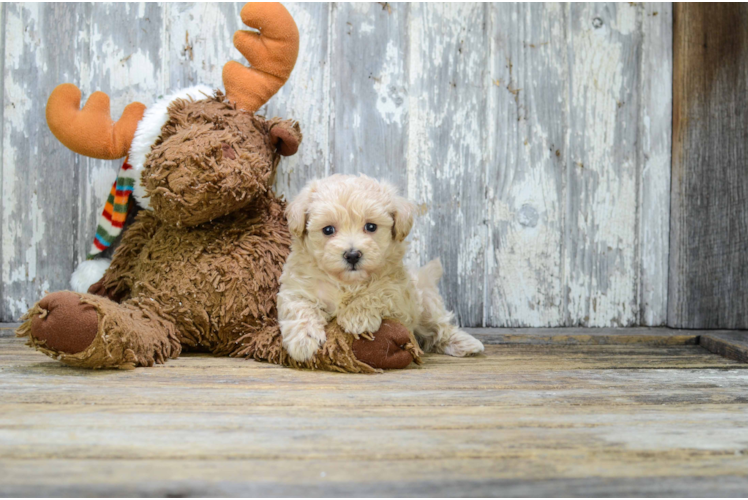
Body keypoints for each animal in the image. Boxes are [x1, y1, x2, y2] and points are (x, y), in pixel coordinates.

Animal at [276, 176, 486, 364]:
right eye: (328, 230)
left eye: (371, 226)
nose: (352, 255)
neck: (347, 283)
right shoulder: (296, 288)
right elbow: (300, 308)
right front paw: (303, 341)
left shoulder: (399, 291)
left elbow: (379, 291)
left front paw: (356, 316)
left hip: (426, 304)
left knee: (439, 325)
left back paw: (465, 343)